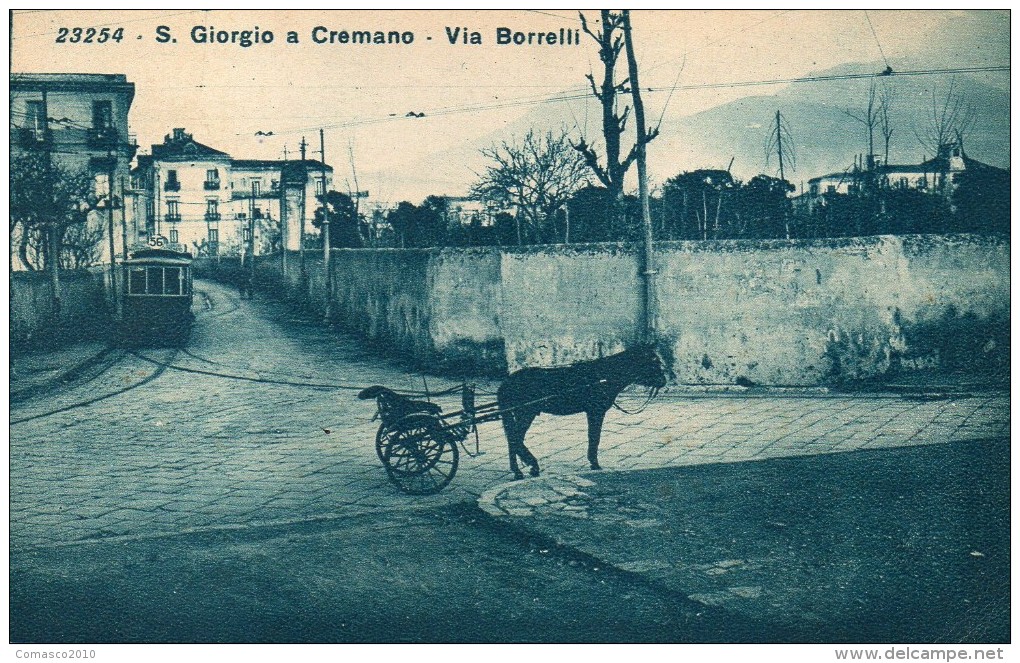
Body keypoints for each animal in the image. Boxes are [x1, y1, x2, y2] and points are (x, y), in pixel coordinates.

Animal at [495, 342, 669, 477]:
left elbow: (593, 437)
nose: (663, 381)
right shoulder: (596, 412)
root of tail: (506, 382)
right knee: (514, 438)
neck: (604, 375)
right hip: (526, 413)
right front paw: (595, 464)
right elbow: (595, 437)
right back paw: (527, 467)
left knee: (514, 438)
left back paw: (521, 469)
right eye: (653, 361)